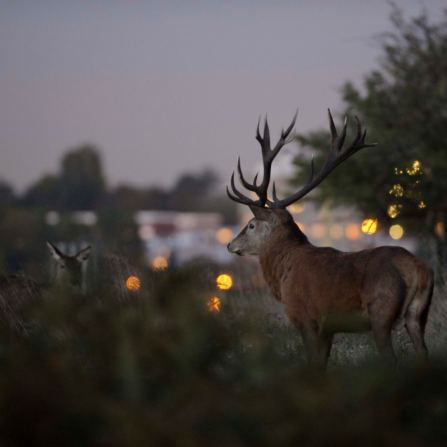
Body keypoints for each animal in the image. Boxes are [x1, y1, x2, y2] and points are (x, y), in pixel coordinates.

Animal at [228, 109, 434, 372]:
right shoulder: (329, 328)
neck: (284, 271)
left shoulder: (306, 318)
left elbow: (314, 364)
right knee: (423, 353)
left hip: (381, 311)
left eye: (251, 225)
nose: (230, 244)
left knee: (391, 358)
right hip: (418, 315)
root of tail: (419, 269)